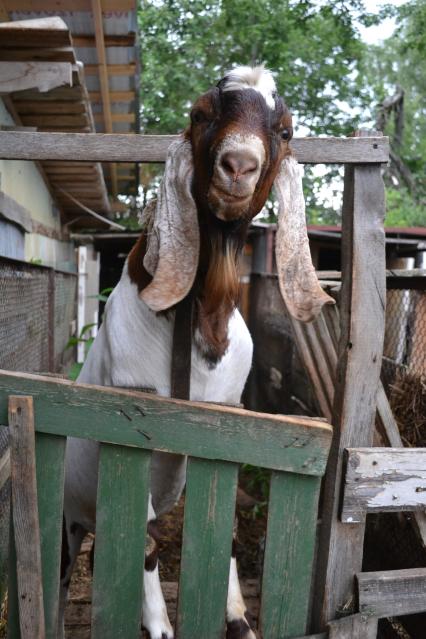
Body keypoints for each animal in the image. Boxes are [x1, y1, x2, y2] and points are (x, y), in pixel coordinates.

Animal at [60, 66, 332, 639]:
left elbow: (222, 529)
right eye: (200, 114)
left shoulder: (228, 423)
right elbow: (145, 541)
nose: (239, 165)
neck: (198, 328)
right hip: (67, 519)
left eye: (285, 129)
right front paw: (160, 627)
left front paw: (238, 619)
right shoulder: (131, 423)